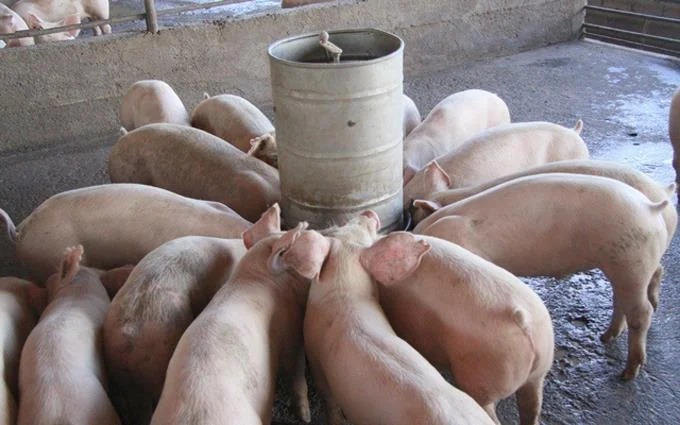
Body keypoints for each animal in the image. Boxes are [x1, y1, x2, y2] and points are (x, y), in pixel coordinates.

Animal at [284, 213, 495, 425]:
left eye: (368, 231)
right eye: (343, 225)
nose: (368, 213)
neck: (343, 291)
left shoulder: (317, 362)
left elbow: (331, 402)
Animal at [414, 173, 674, 380]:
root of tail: (651, 207)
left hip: (632, 261)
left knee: (641, 312)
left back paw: (627, 374)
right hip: (625, 264)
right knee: (630, 293)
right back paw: (606, 337)